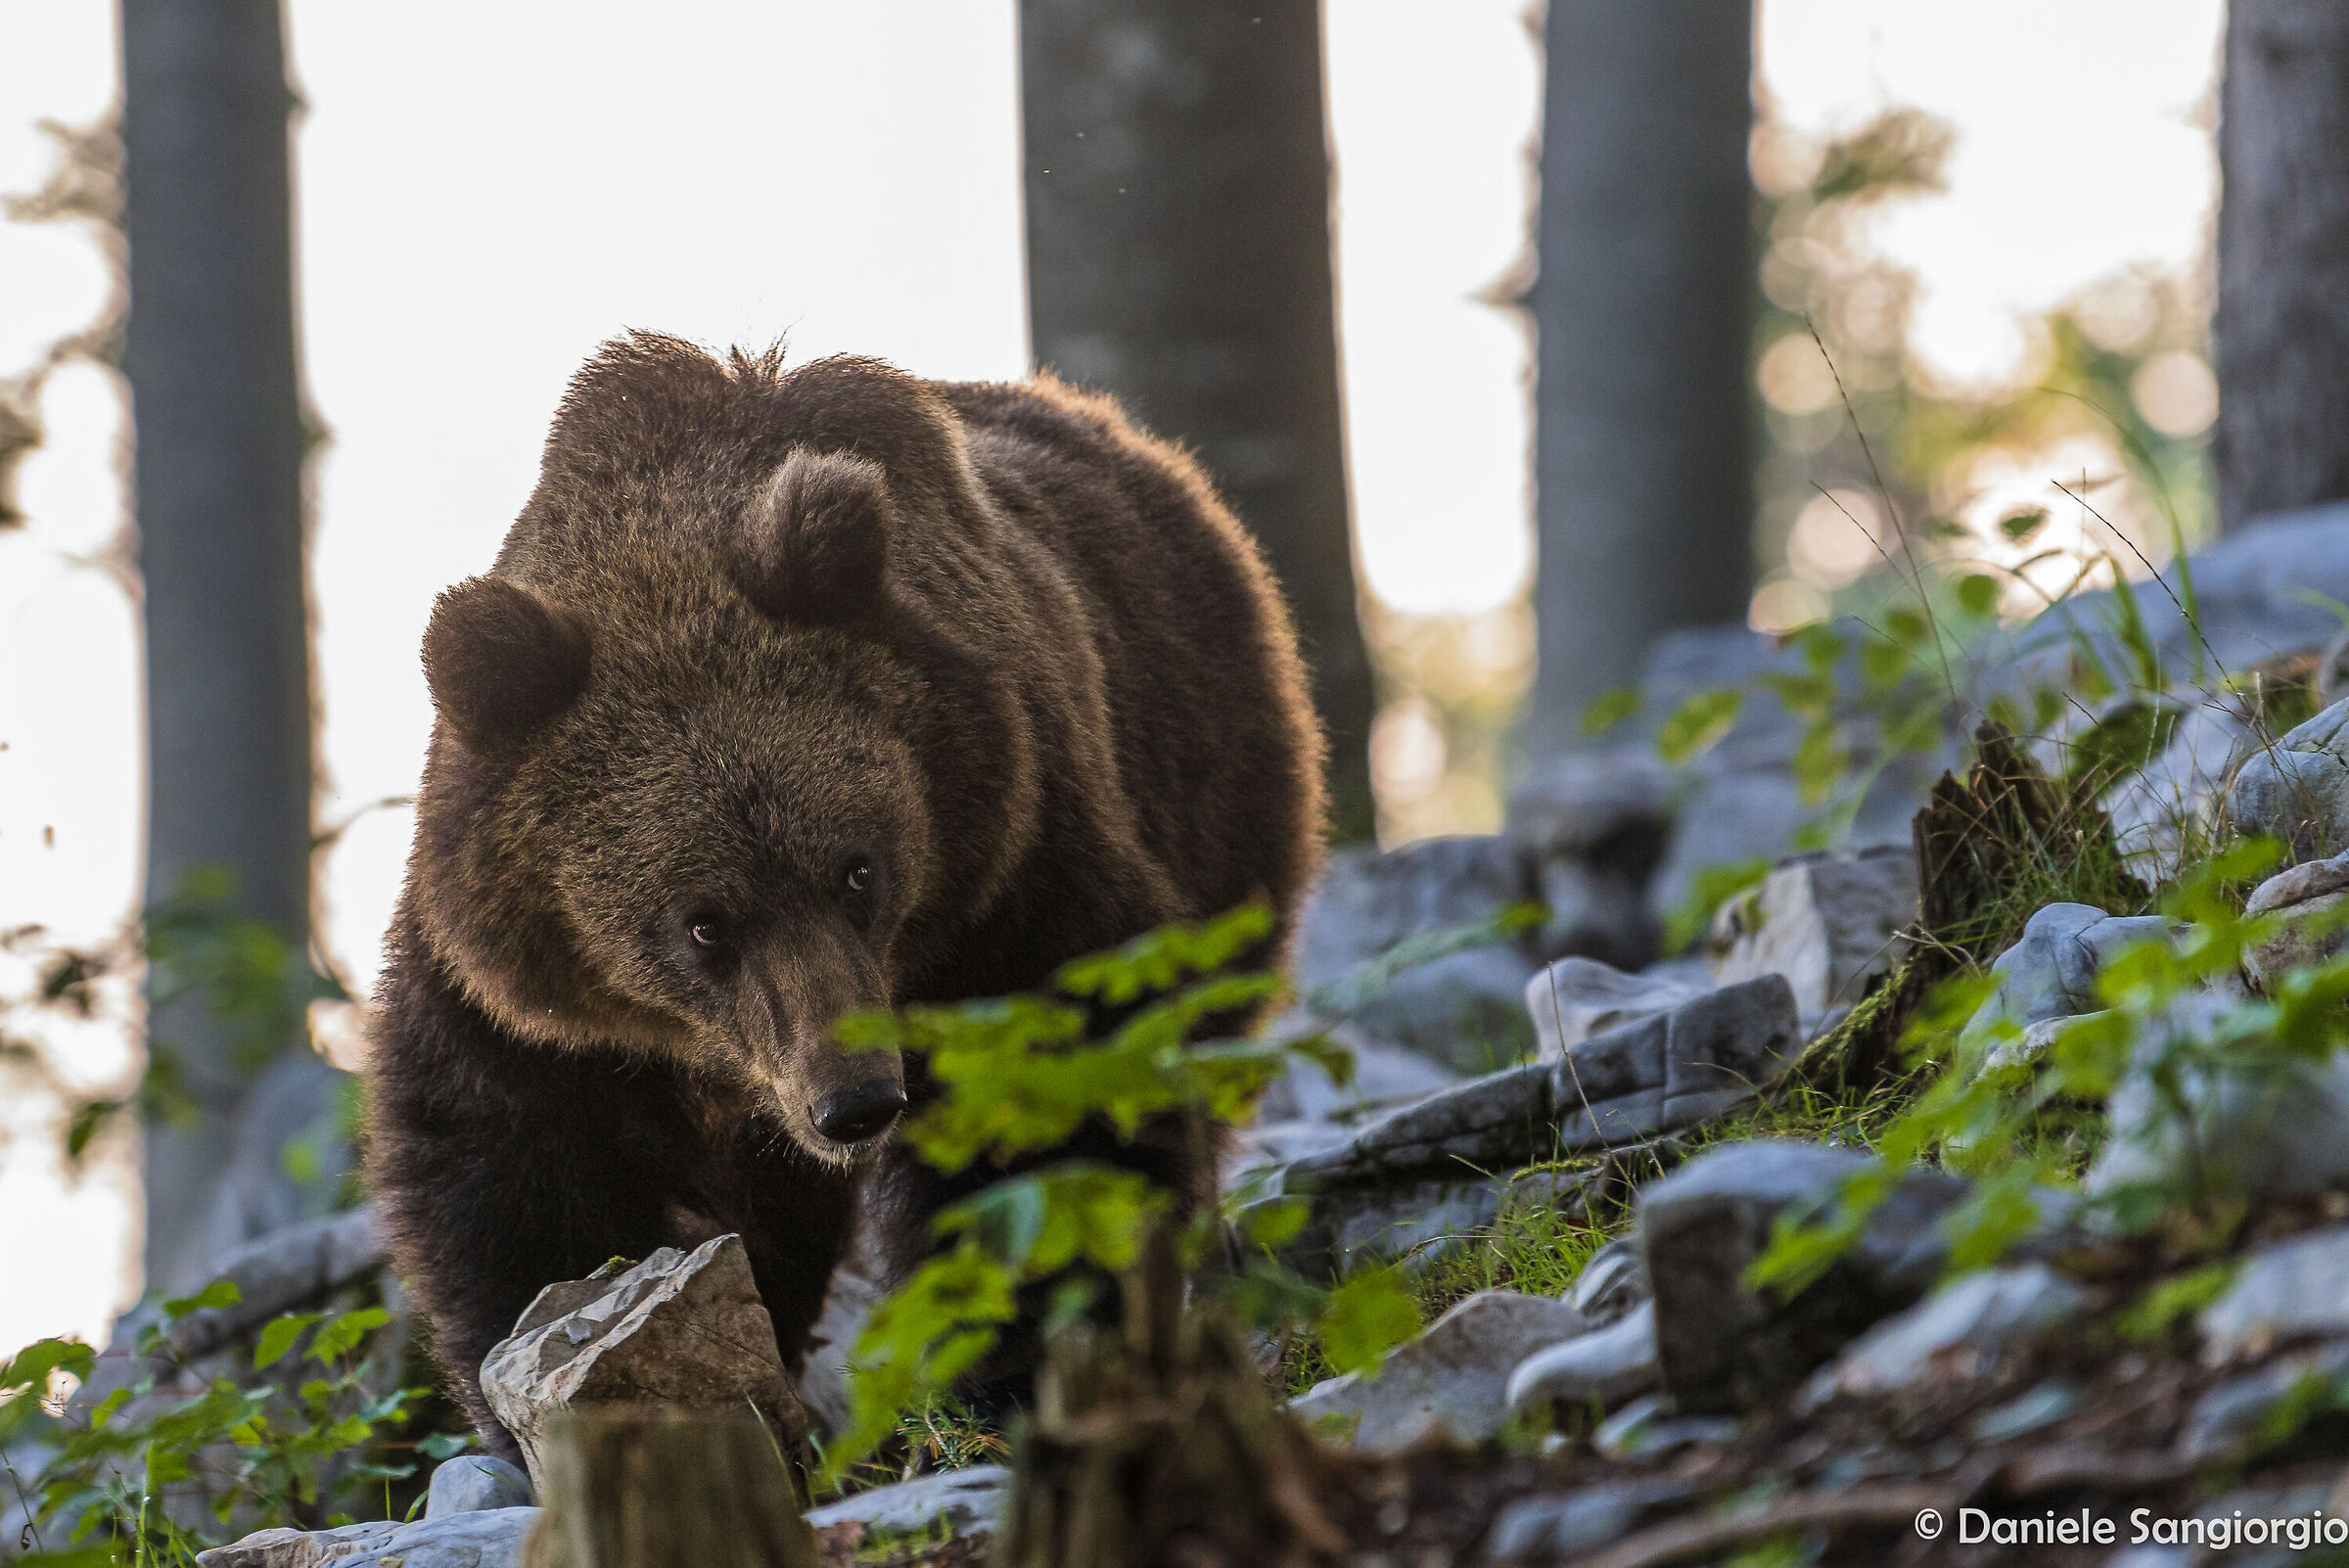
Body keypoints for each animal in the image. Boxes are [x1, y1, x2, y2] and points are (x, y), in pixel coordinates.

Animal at [364, 332, 1328, 1453]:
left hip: (1214, 791)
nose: (856, 1102)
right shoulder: (523, 994)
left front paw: (1016, 1359)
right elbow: (521, 1177)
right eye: (703, 924)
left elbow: (1052, 1108)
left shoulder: (1013, 881)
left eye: (858, 870)